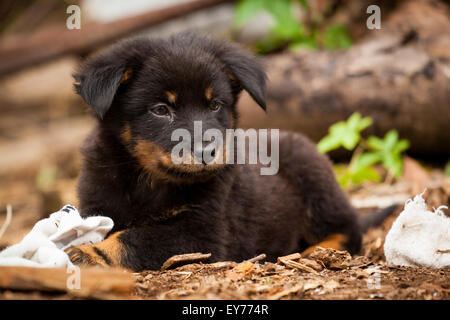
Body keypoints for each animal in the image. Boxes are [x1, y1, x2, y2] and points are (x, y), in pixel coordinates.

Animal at [67, 32, 394, 270]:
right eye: (160, 110)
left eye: (214, 105)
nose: (207, 152)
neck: (147, 180)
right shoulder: (98, 203)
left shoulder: (203, 232)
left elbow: (132, 238)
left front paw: (88, 253)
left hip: (313, 176)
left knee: (348, 228)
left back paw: (312, 252)